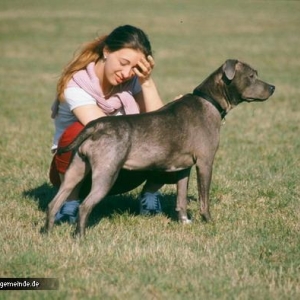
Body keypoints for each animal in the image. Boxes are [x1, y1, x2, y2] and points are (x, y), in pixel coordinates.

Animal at [45, 59, 274, 237]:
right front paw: (209, 221)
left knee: (54, 203)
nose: (273, 88)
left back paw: (48, 233)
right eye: (251, 76)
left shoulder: (183, 168)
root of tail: (96, 125)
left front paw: (184, 221)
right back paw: (80, 237)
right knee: (85, 206)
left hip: (75, 171)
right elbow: (204, 199)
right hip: (106, 173)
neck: (209, 101)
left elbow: (181, 198)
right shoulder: (205, 164)